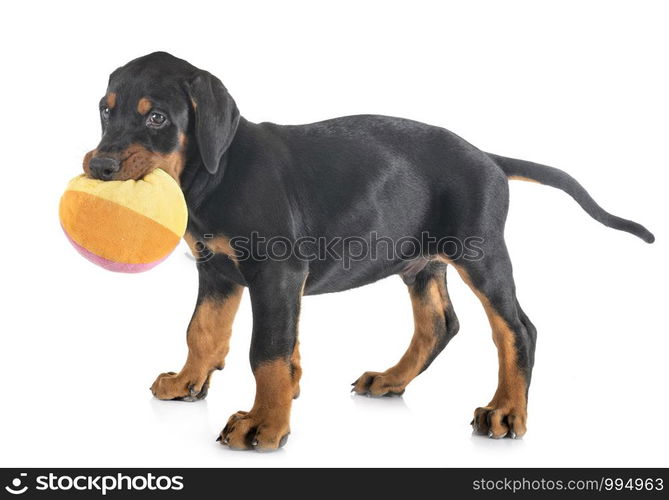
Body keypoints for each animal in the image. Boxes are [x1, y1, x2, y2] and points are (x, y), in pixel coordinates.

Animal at [82, 52, 652, 452]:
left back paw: (507, 412)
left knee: (516, 329)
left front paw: (265, 424)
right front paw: (189, 382)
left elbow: (265, 350)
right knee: (439, 324)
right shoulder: (218, 270)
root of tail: (487, 157)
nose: (99, 167)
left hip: (480, 251)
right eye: (105, 112)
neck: (214, 173)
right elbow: (203, 330)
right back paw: (391, 380)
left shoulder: (277, 271)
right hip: (421, 261)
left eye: (156, 117)